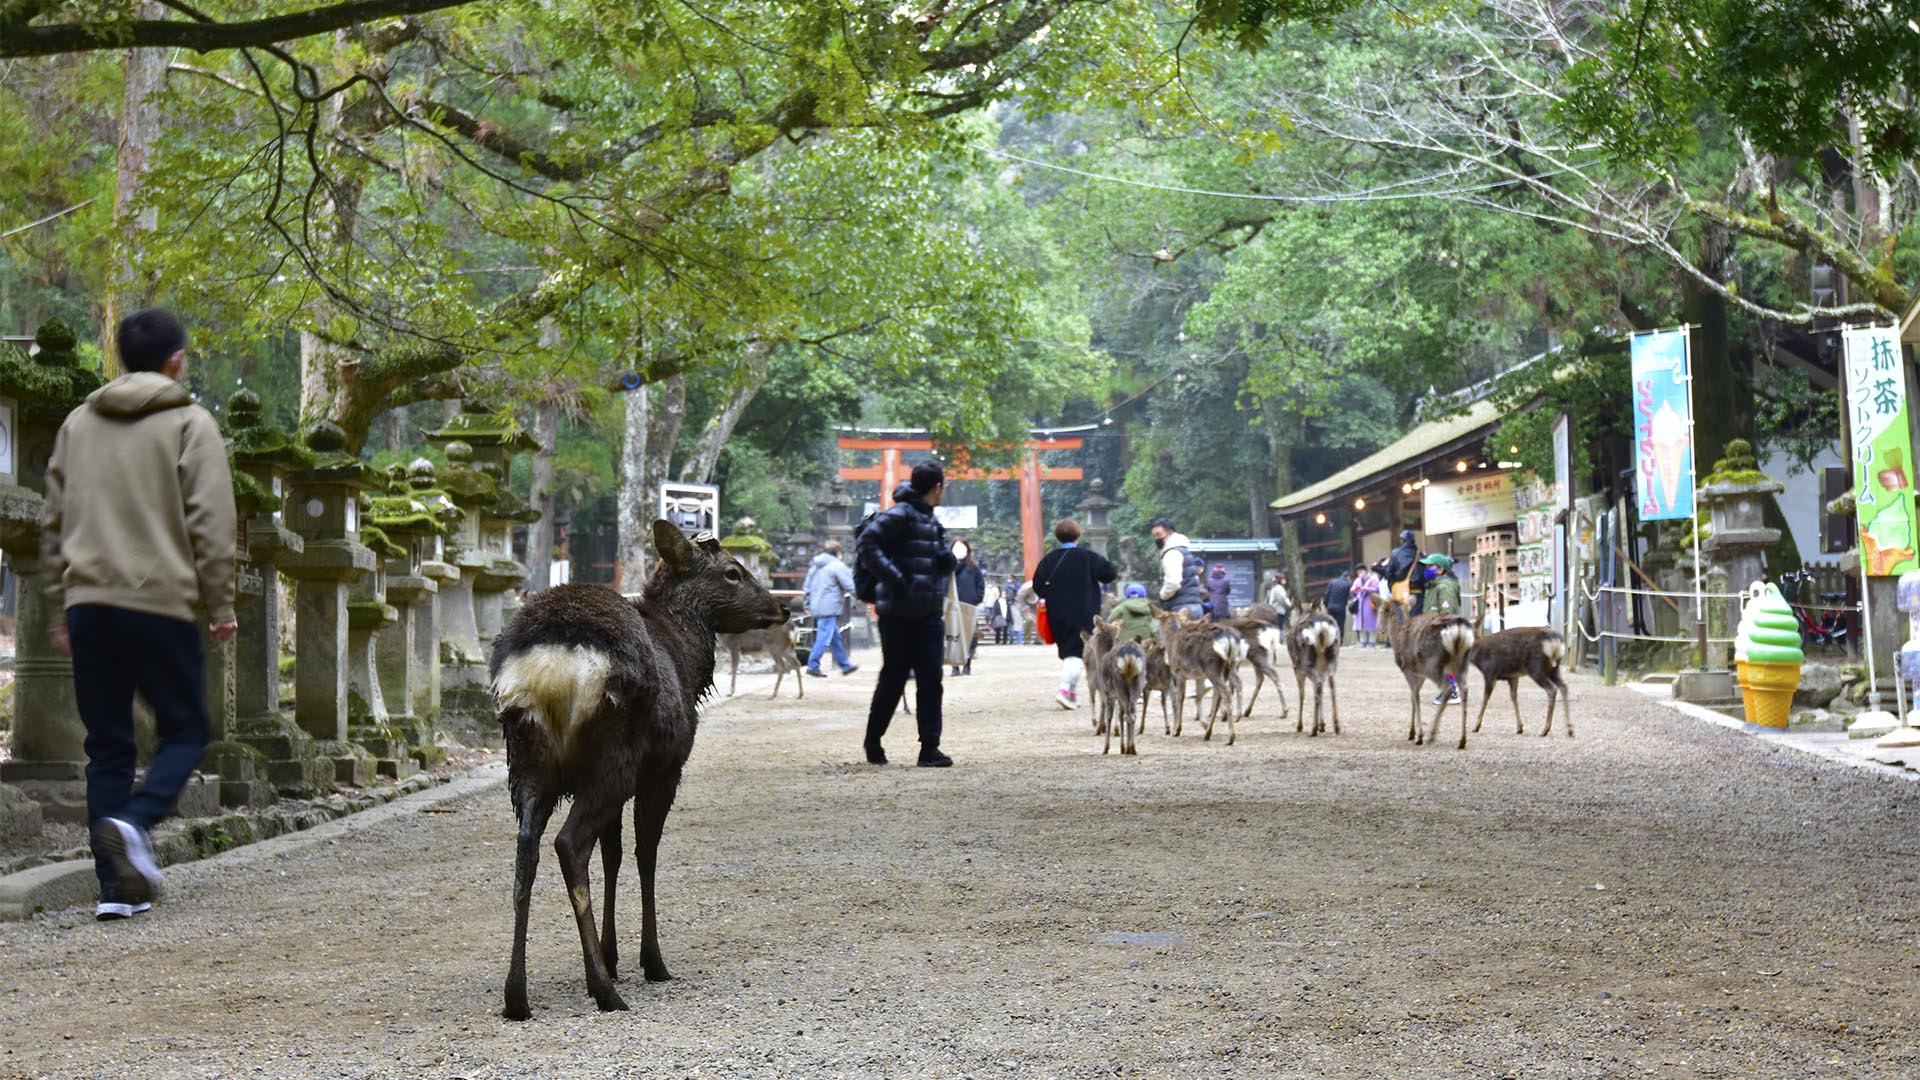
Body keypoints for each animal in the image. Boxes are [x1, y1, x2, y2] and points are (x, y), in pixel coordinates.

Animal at [487, 522, 787, 1014]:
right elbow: (645, 854)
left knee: (527, 849)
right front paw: (649, 961)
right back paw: (604, 991)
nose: (782, 606)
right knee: (570, 844)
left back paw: (517, 996)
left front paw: (612, 955)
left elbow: (611, 856)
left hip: (528, 763)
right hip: (613, 757)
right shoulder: (665, 770)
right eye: (733, 572)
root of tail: (549, 666)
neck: (688, 663)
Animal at [1282, 599, 1344, 734]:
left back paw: (1313, 729)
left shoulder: (1297, 668)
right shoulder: (1322, 669)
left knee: (1317, 688)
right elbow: (1320, 691)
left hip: (1307, 662)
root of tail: (1321, 628)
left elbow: (1302, 694)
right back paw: (1336, 725)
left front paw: (1299, 726)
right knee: (1331, 686)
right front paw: (1323, 725)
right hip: (1332, 660)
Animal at [1382, 588, 1482, 749]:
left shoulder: (1407, 668)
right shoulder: (1419, 674)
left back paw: (1432, 735)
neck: (1397, 635)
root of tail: (1459, 628)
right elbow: (1413, 696)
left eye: (1380, 611)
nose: (1380, 630)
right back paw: (1462, 740)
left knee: (1447, 687)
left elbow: (1415, 697)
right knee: (1465, 689)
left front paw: (1418, 736)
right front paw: (1411, 733)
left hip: (1433, 664)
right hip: (1462, 662)